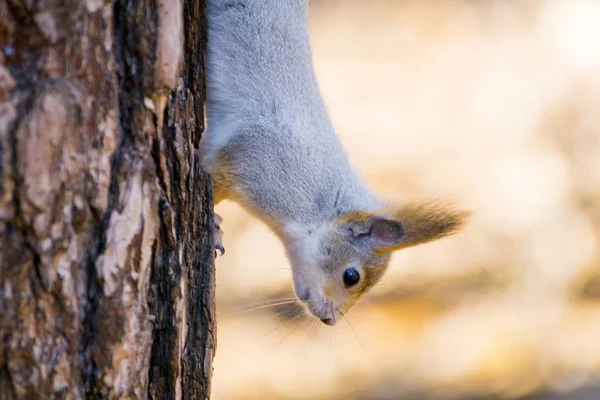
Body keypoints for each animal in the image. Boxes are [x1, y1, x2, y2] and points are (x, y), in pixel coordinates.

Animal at [199, 0, 466, 324]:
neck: (318, 199)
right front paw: (214, 226)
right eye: (351, 276)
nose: (330, 320)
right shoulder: (251, 160)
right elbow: (215, 175)